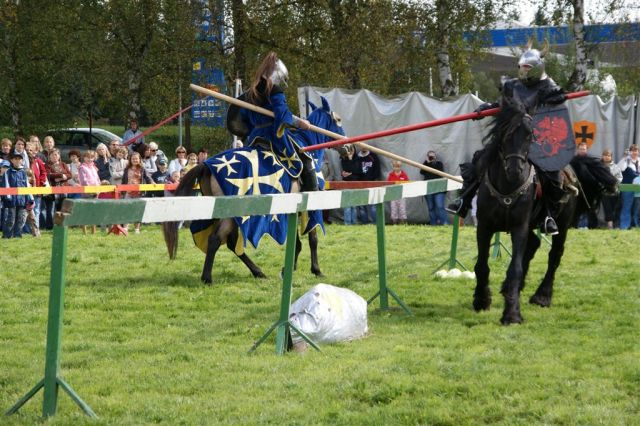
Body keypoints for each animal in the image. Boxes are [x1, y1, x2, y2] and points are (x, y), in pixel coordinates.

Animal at [476, 97, 616, 322]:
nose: (516, 171)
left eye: (529, 136)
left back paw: (542, 296)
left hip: (562, 224)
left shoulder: (519, 227)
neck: (508, 186)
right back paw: (511, 289)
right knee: (534, 244)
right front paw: (481, 300)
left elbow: (515, 268)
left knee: (555, 255)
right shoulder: (484, 226)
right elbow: (481, 265)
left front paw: (512, 314)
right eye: (507, 134)